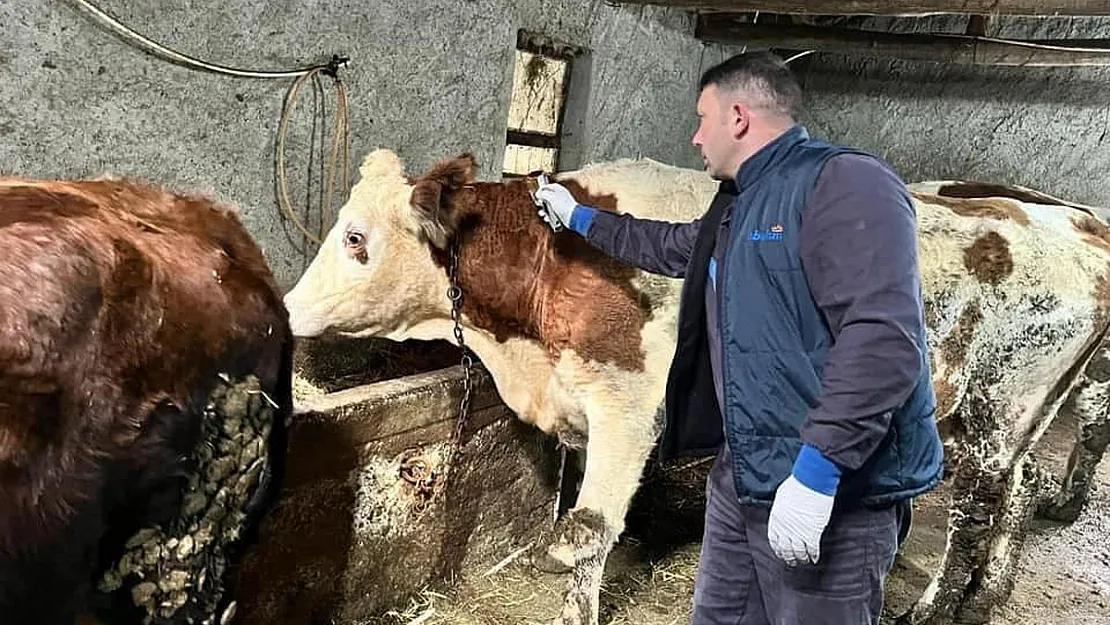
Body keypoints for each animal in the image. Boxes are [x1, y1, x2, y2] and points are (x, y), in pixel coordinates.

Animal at [281, 149, 1110, 625]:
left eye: (355, 238)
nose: (286, 309)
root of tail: (1067, 230)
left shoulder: (627, 413)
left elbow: (584, 534)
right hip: (1004, 415)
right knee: (1017, 491)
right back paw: (987, 595)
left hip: (1000, 407)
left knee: (975, 512)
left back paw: (936, 608)